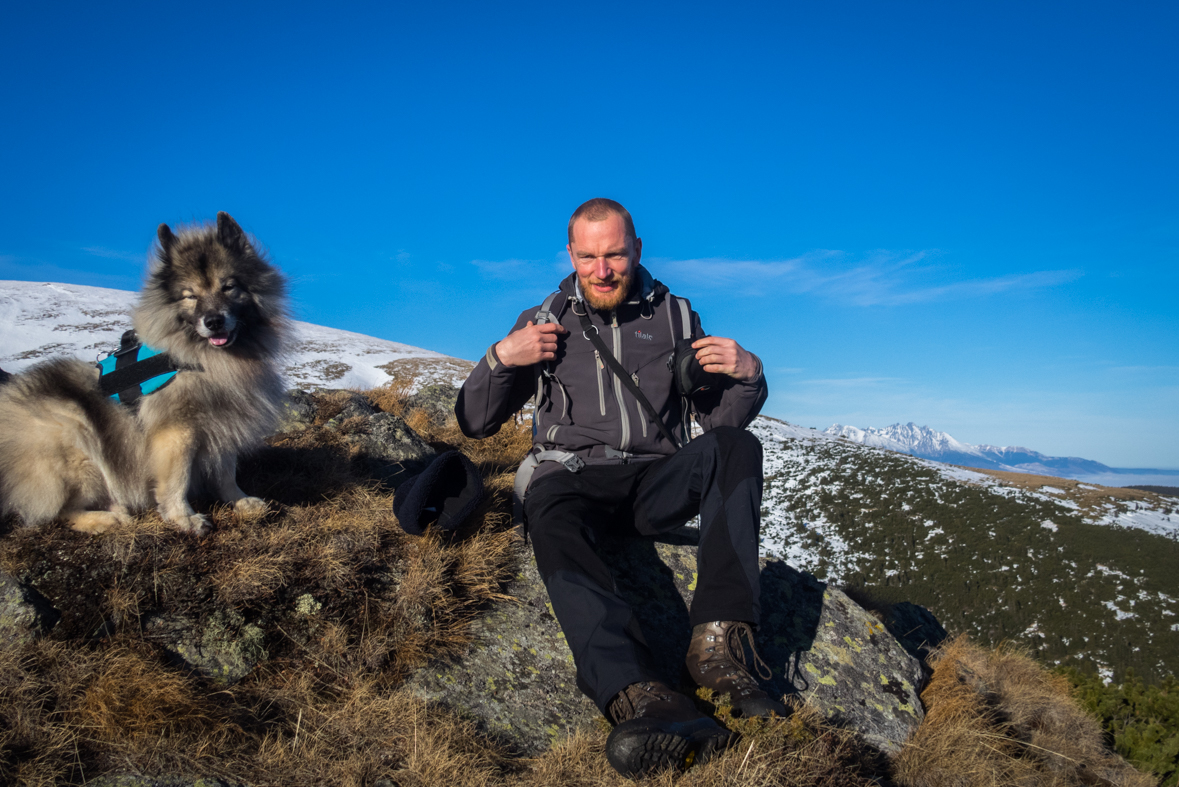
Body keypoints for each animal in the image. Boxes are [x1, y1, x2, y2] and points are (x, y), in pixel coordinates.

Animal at [0, 212, 290, 534]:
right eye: (190, 296)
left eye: (228, 287)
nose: (213, 321)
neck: (204, 357)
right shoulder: (178, 430)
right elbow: (177, 479)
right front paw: (183, 517)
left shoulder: (223, 419)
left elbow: (226, 471)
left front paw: (239, 500)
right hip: (74, 437)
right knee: (57, 511)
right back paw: (107, 517)